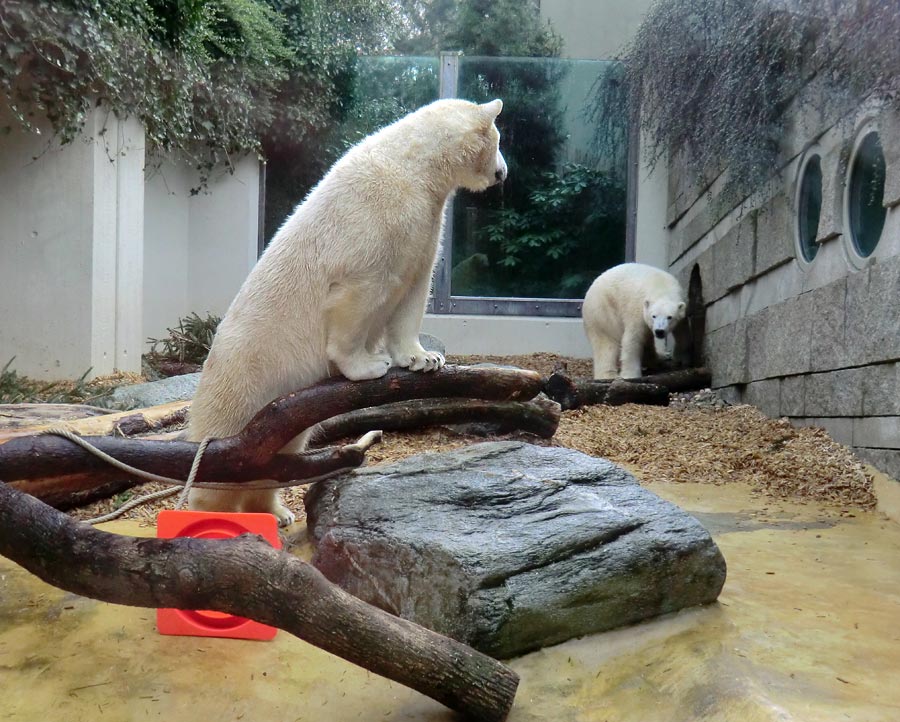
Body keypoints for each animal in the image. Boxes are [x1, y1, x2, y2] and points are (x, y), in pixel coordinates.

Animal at [186, 97, 510, 524]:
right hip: (240, 385)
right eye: (499, 139)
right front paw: (369, 366)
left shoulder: (425, 223)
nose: (503, 173)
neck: (414, 167)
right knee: (222, 466)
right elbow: (360, 290)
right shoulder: (376, 215)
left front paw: (424, 358)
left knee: (280, 451)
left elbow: (413, 291)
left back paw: (277, 511)